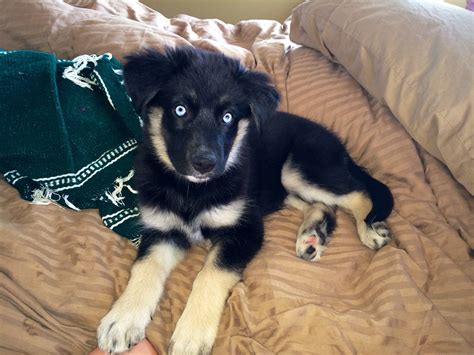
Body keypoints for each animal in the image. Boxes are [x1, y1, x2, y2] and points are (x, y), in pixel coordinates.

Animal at [96, 48, 392, 355]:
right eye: (180, 110)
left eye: (228, 117)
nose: (205, 164)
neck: (192, 190)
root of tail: (338, 145)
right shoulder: (162, 230)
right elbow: (144, 267)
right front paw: (122, 319)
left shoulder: (245, 231)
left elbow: (209, 275)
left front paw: (192, 334)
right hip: (283, 187)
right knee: (322, 205)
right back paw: (312, 236)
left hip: (299, 168)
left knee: (359, 194)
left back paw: (368, 230)